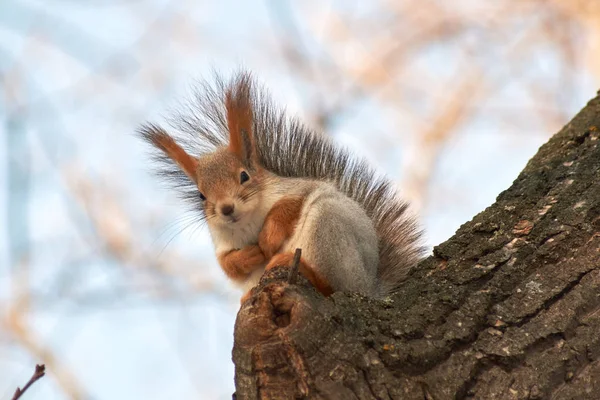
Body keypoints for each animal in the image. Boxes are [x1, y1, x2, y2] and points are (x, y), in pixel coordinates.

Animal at [139, 72, 424, 304]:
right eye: (201, 194)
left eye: (244, 176)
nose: (226, 209)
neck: (248, 220)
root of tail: (370, 288)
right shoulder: (221, 240)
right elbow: (227, 264)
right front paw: (250, 255)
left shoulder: (295, 188)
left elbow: (290, 205)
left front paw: (267, 240)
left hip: (330, 230)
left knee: (334, 286)